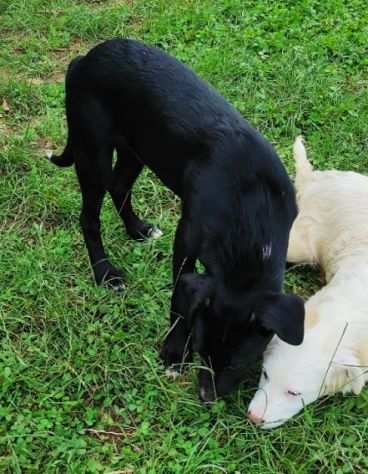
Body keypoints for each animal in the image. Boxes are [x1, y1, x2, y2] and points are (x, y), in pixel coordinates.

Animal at [51, 39, 304, 400]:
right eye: (201, 350)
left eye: (238, 363)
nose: (206, 397)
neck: (253, 210)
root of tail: (84, 60)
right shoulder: (186, 240)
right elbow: (178, 301)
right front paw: (173, 352)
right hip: (93, 153)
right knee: (89, 218)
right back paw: (105, 273)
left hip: (137, 149)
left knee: (120, 187)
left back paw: (138, 229)